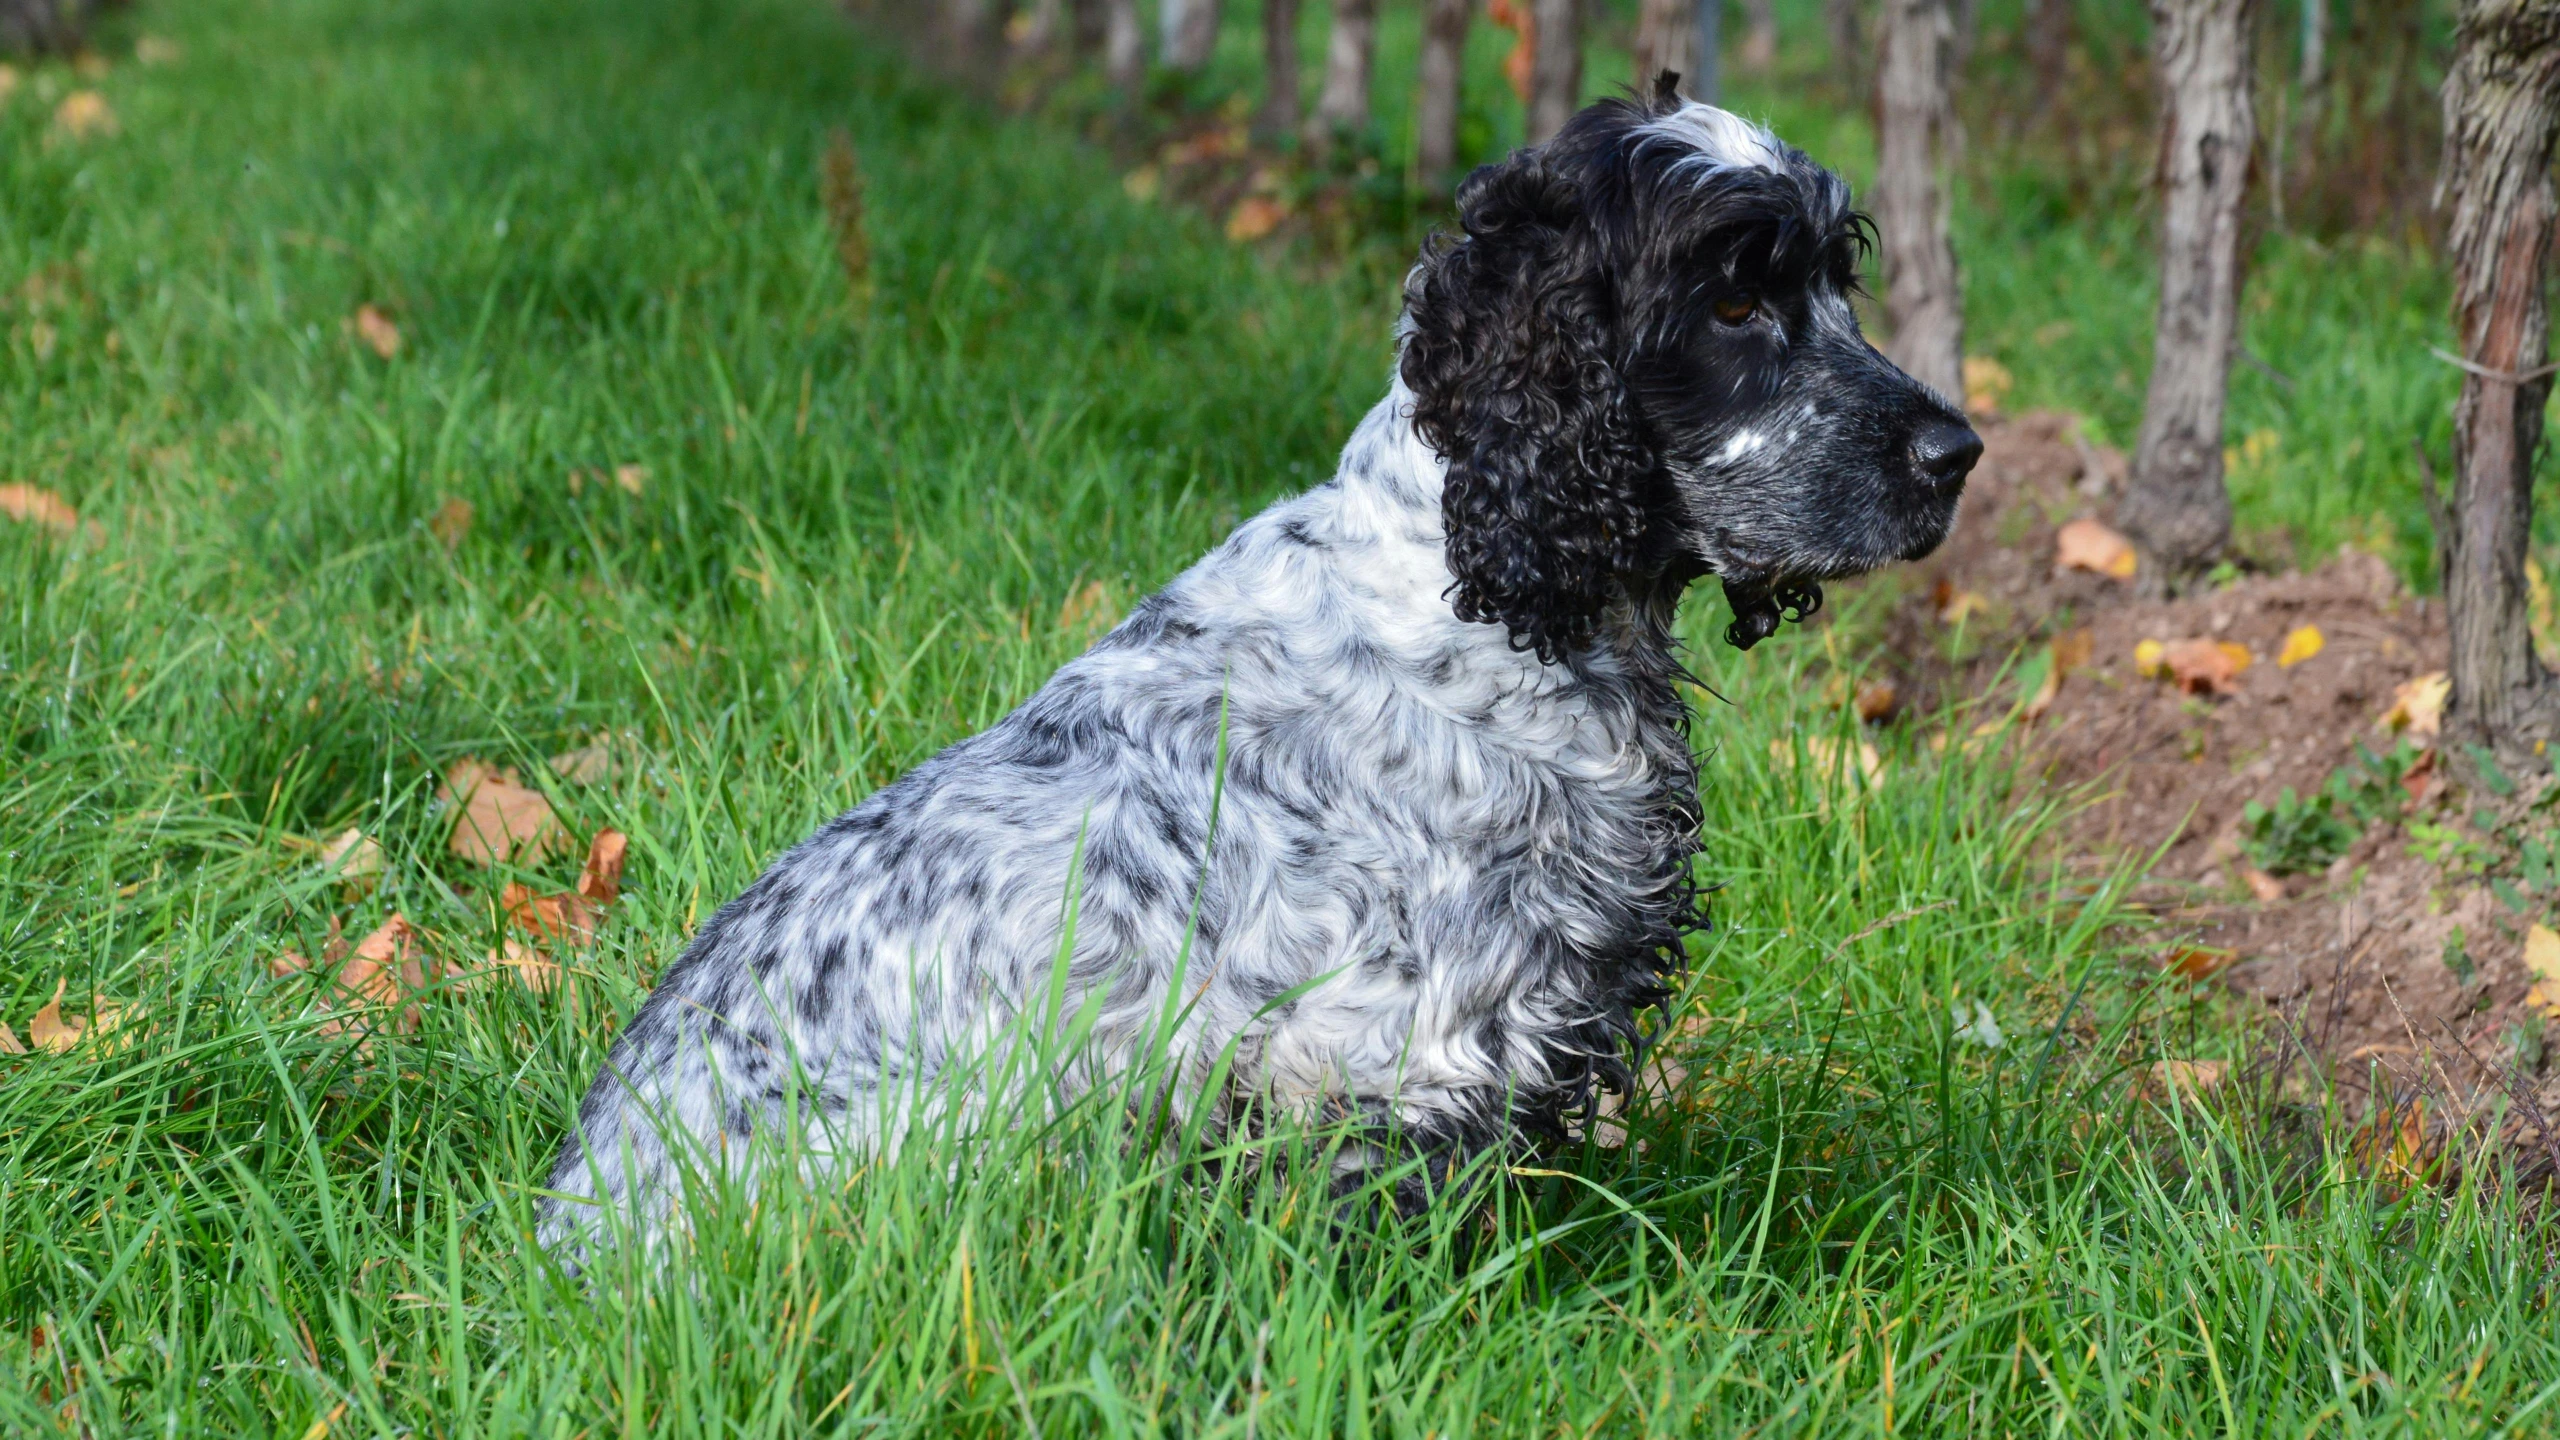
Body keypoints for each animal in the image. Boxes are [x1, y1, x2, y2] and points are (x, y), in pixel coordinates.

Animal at [540, 92, 1976, 1255]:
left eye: (1838, 290)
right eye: (1734, 304)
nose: (1958, 452)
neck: (1481, 590)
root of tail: (568, 1245)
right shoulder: (1400, 1051)